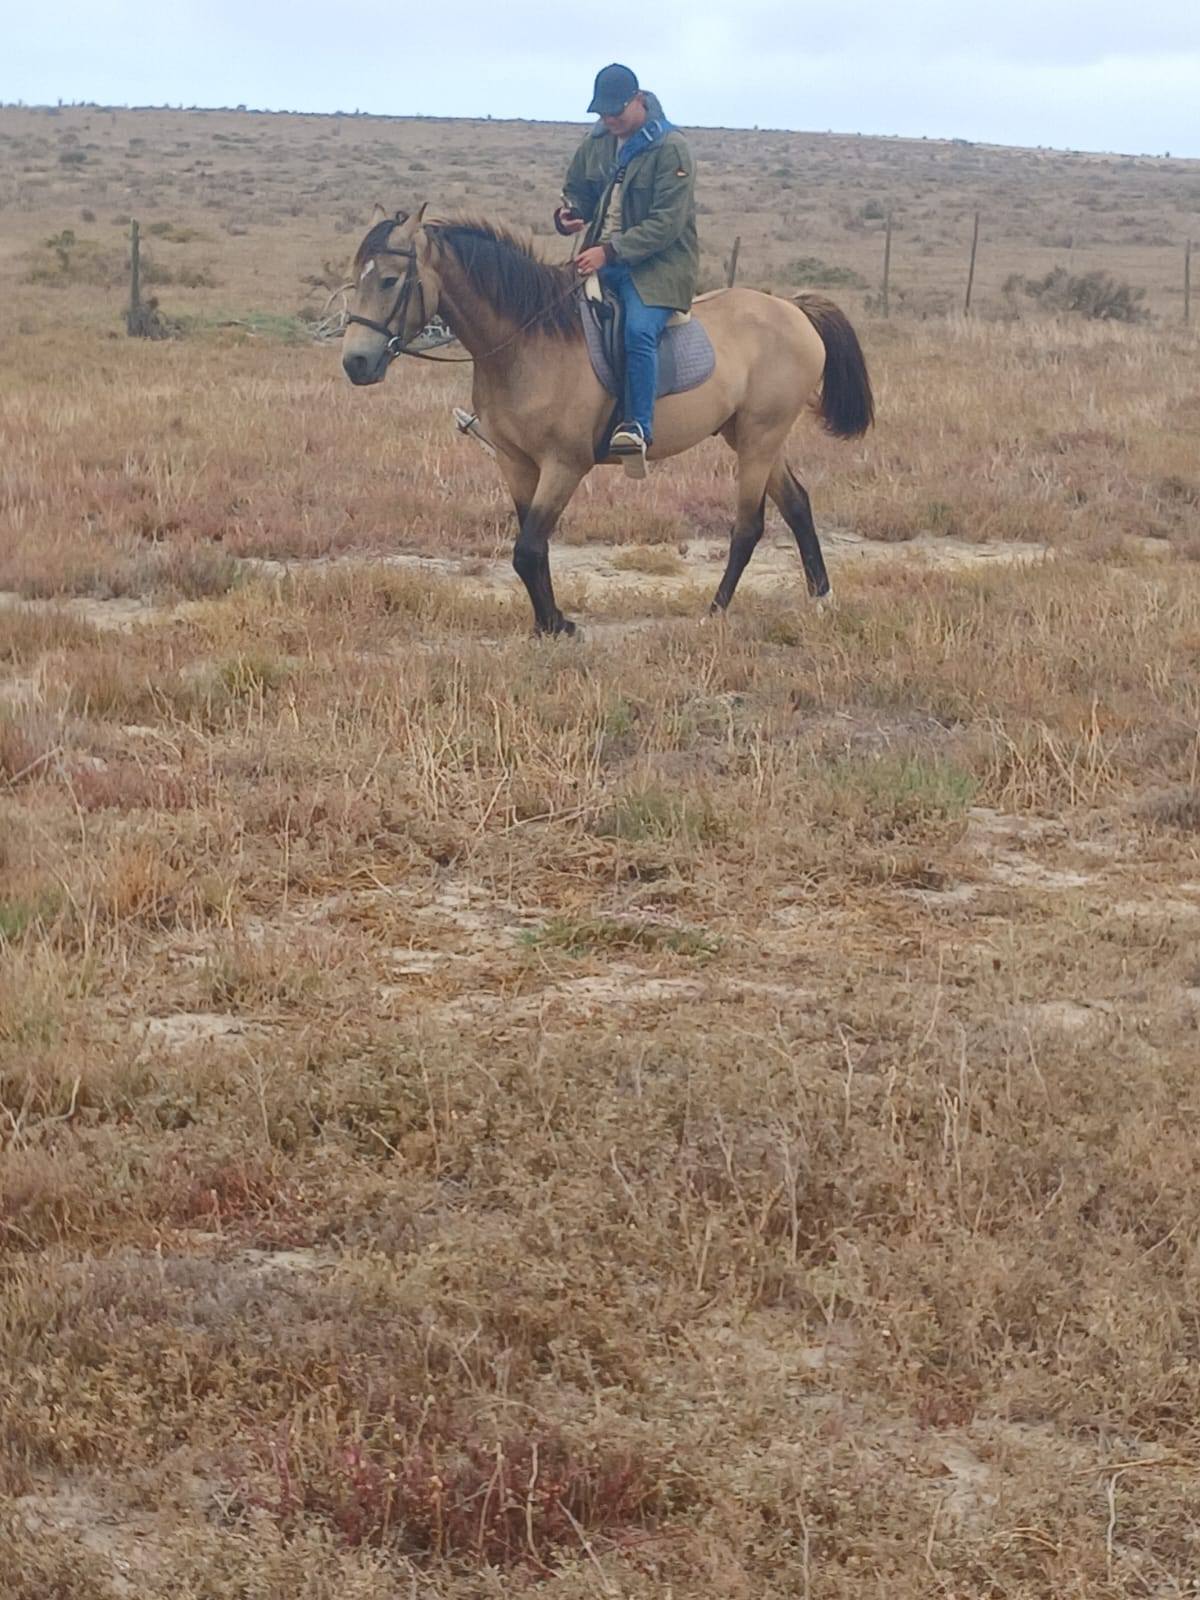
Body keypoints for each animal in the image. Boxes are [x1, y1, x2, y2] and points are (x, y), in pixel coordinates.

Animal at [342, 206, 874, 637]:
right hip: (749, 435)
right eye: (355, 278)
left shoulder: (564, 464)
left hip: (760, 437)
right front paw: (549, 622)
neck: (530, 338)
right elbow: (533, 548)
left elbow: (528, 548)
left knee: (749, 526)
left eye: (389, 280)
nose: (355, 363)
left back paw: (716, 610)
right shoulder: (516, 464)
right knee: (798, 504)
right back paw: (821, 598)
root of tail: (792, 308)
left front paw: (557, 625)